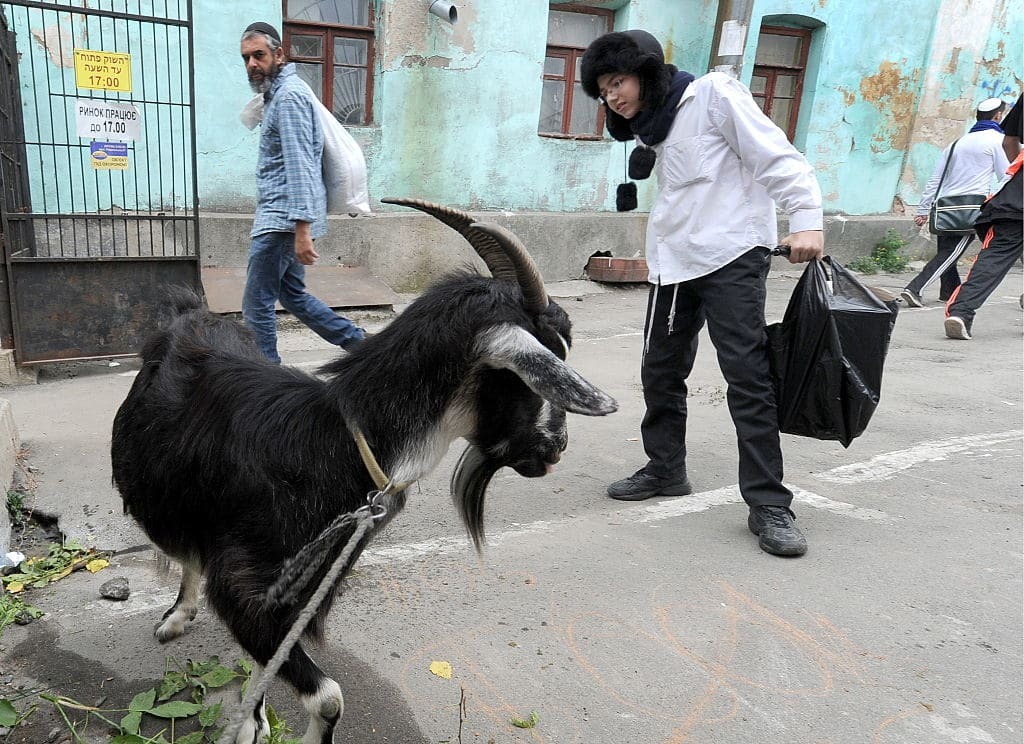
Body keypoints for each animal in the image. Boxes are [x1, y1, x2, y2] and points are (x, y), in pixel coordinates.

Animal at [110, 199, 614, 744]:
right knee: (186, 552)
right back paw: (175, 618)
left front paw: (256, 719)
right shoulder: (244, 587)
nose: (556, 448)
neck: (334, 443)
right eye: (533, 374)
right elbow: (329, 696)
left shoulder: (291, 596)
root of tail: (188, 315)